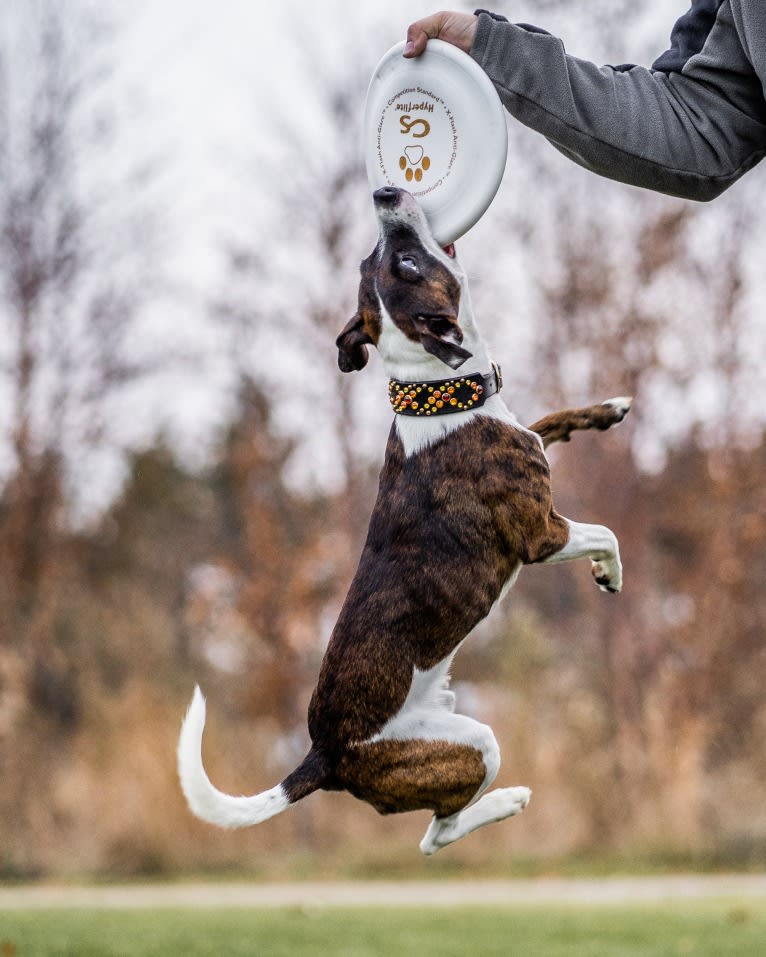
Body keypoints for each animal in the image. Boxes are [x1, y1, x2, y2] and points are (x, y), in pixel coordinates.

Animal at [178, 185, 632, 852]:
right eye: (408, 265)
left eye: (376, 262)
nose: (384, 192)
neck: (438, 393)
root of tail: (323, 757)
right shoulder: (541, 535)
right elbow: (606, 533)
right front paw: (609, 574)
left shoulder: (531, 443)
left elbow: (552, 421)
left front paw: (608, 408)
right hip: (472, 747)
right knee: (435, 835)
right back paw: (510, 801)